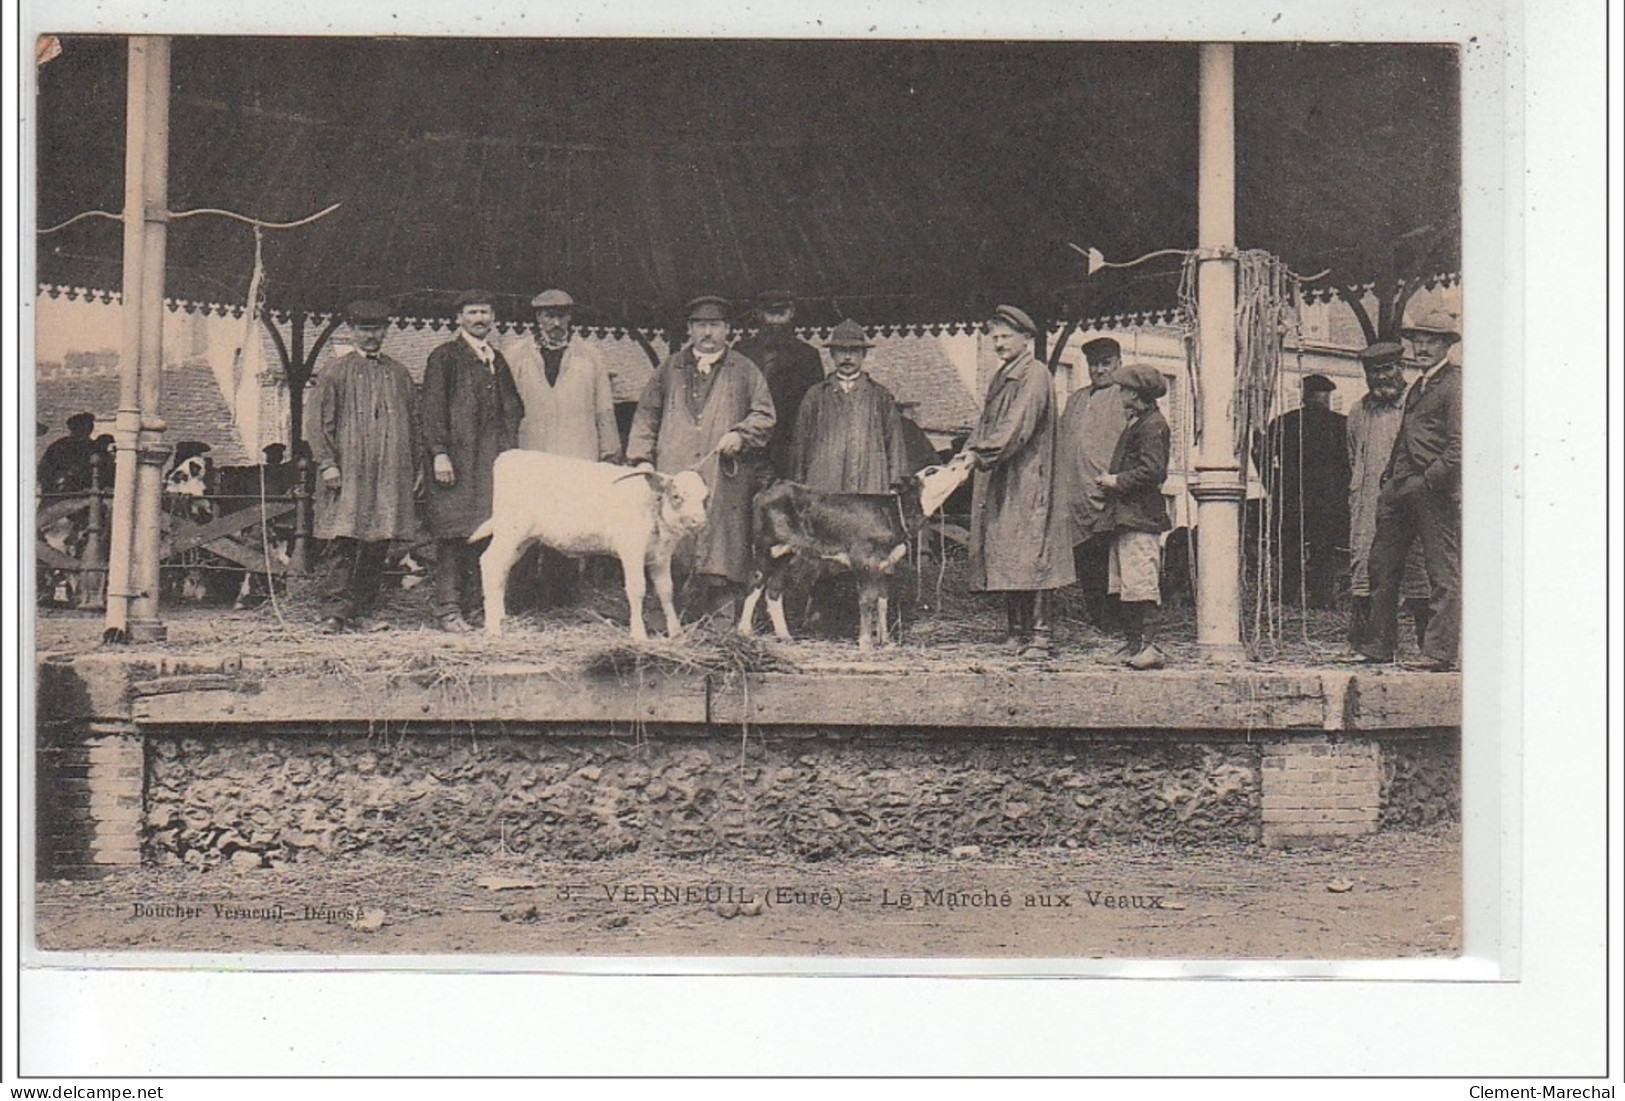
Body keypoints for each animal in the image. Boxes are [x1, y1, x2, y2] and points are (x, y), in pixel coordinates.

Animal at [741, 454, 975, 652]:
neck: (894, 515)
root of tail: (773, 485)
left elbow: (882, 602)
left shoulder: (885, 566)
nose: (964, 457)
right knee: (755, 584)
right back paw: (744, 632)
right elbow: (867, 601)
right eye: (931, 471)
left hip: (785, 552)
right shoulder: (864, 562)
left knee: (773, 590)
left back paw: (784, 635)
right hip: (764, 547)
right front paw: (865, 643)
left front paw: (885, 641)